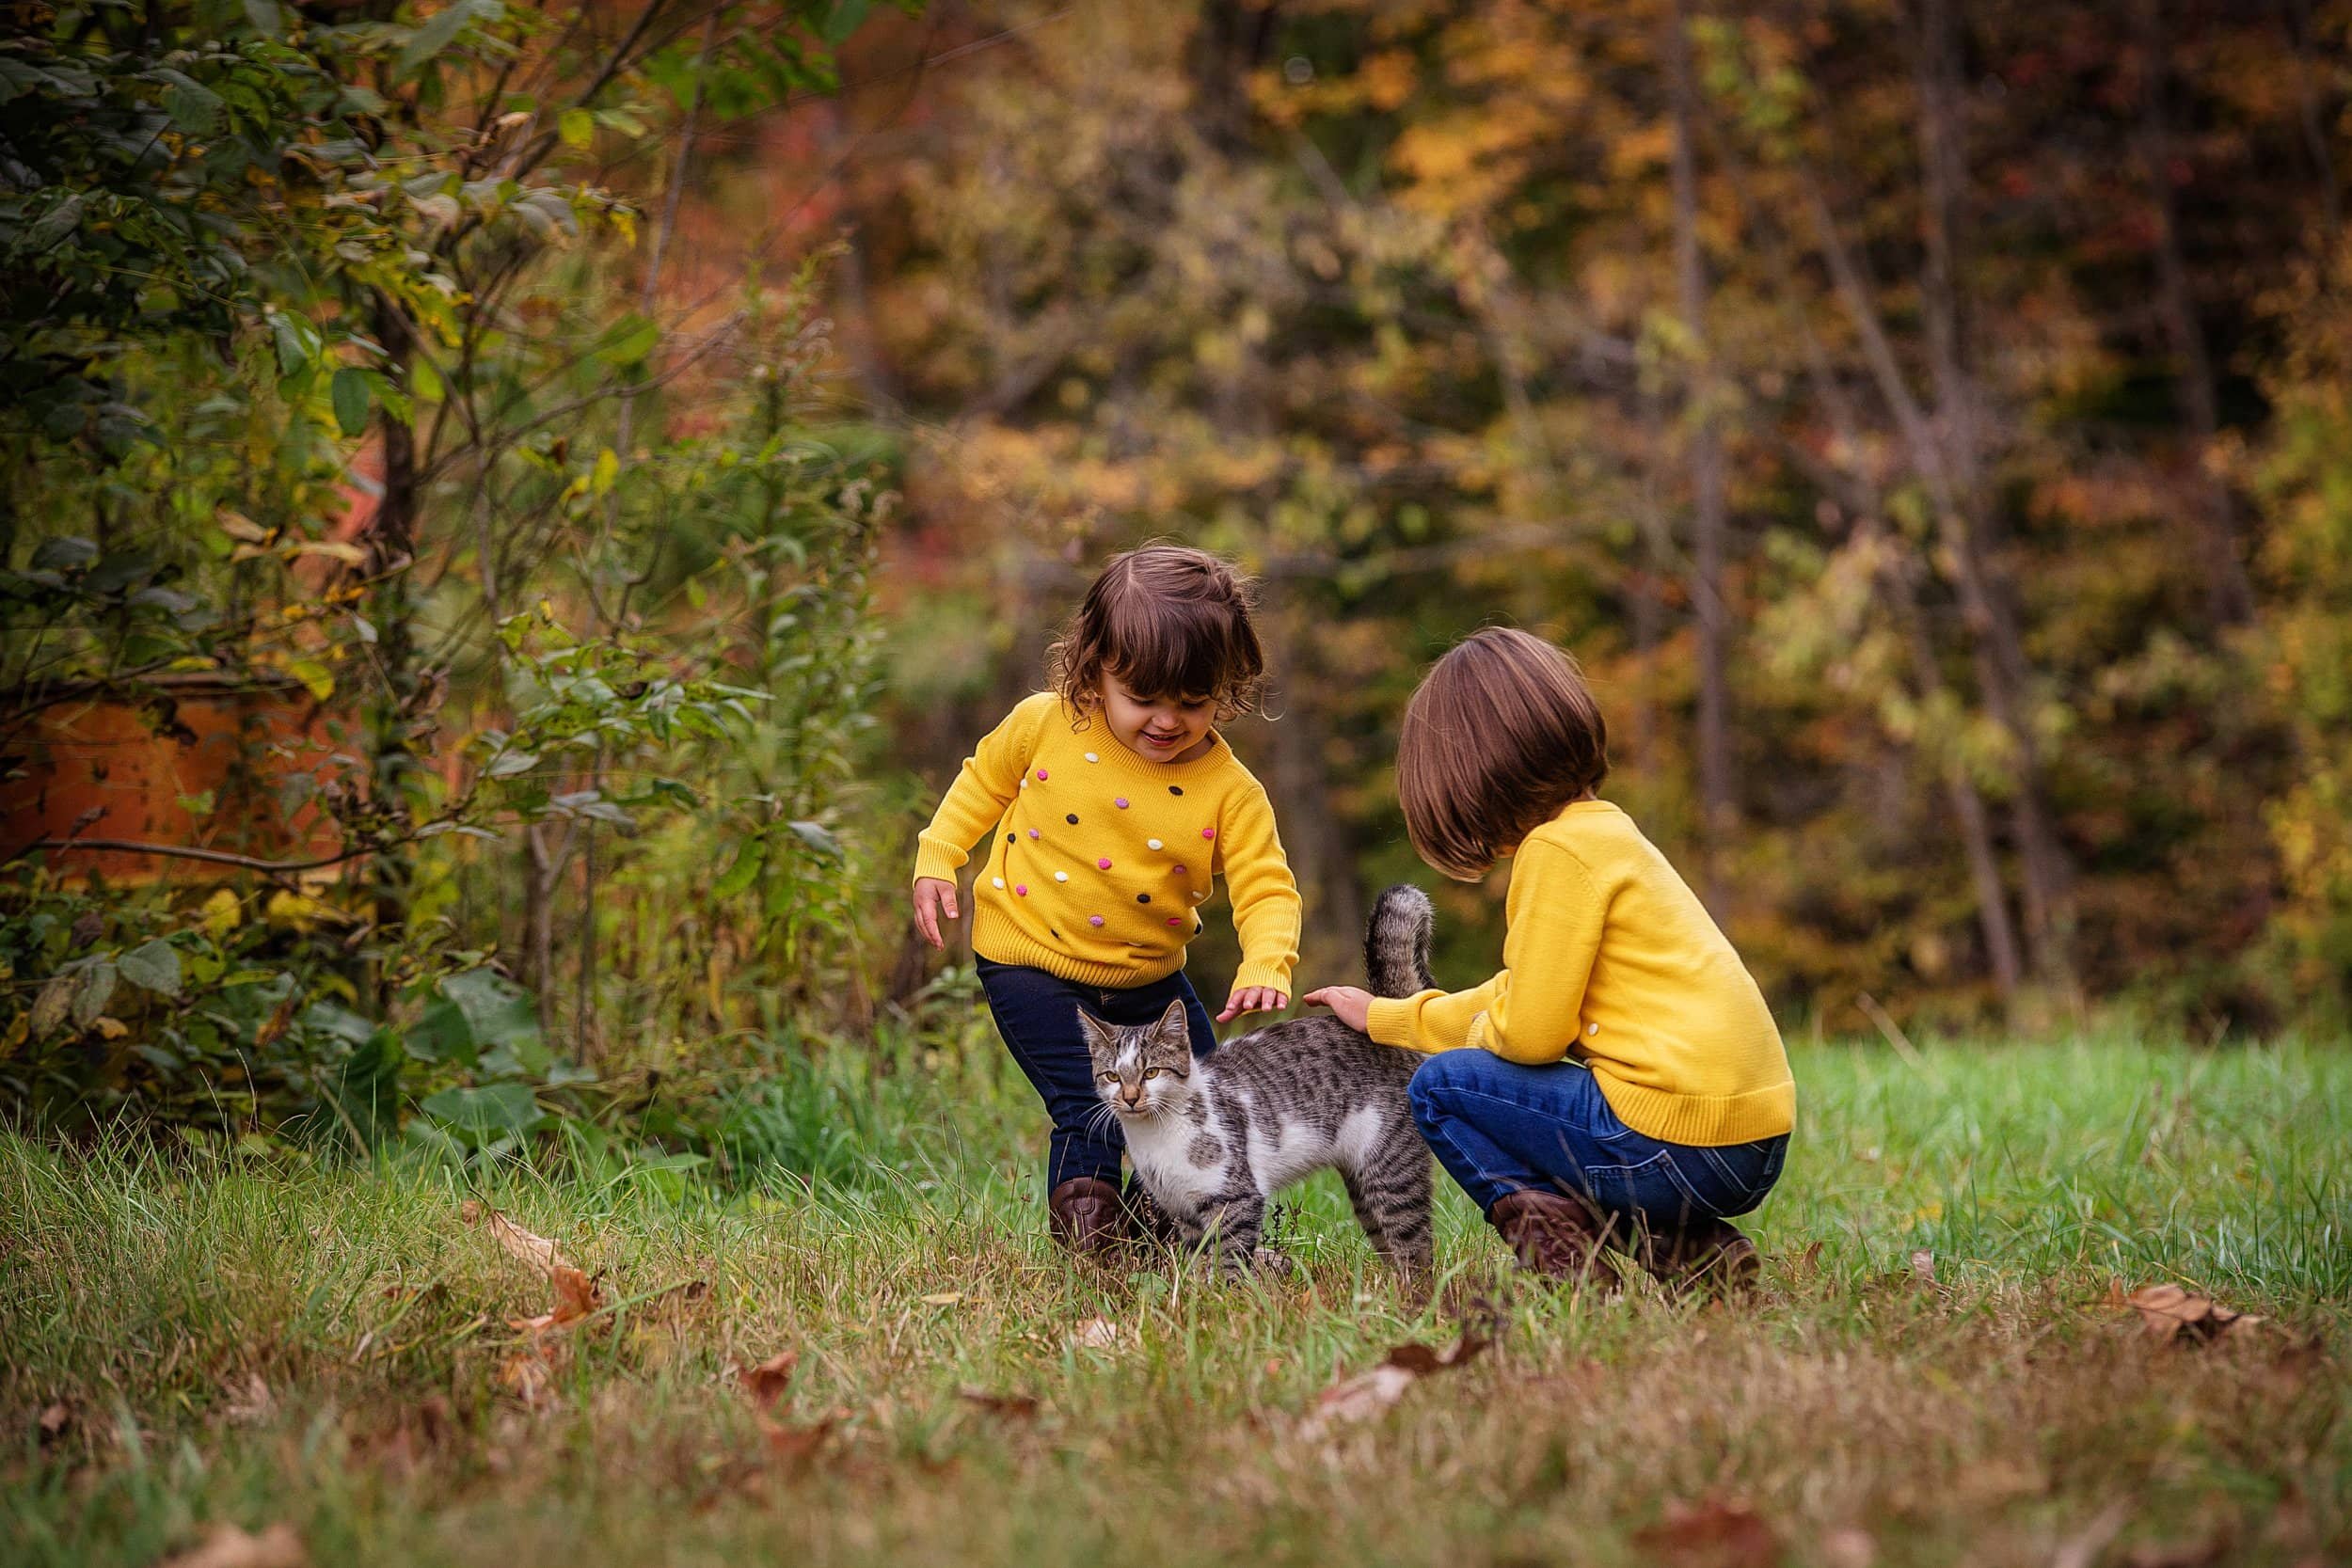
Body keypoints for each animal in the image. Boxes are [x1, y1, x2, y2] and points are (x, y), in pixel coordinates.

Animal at [1077, 883, 1430, 1278]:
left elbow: (1229, 1260)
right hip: (1364, 1187)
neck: (1157, 1137)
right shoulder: (1184, 1212)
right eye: (1112, 1076)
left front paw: (1227, 1293)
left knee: (1415, 1245)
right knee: (1387, 1240)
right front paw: (1197, 1292)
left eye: (1151, 1072)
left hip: (1391, 1172)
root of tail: (1384, 1017)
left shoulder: (1237, 1199)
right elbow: (1197, 1262)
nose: (1131, 1097)